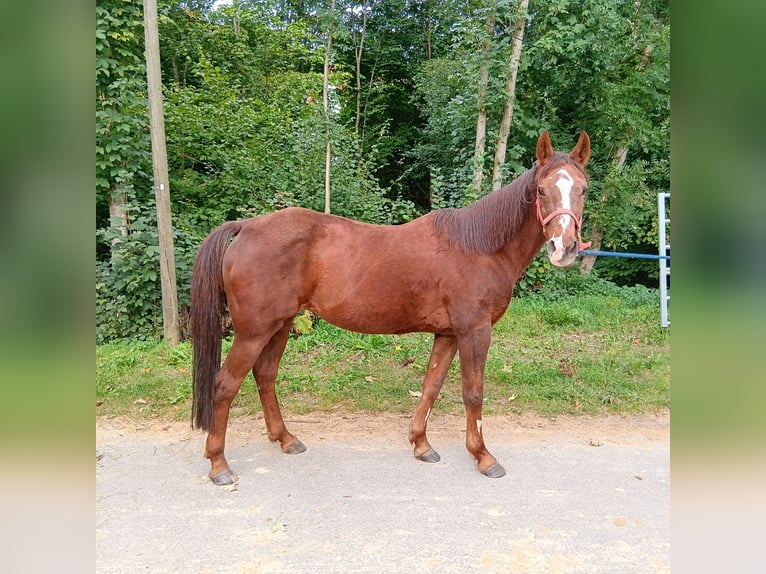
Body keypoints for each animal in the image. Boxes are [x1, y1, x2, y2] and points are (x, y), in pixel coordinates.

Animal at [192, 130, 592, 486]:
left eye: (584, 189)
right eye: (541, 190)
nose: (565, 247)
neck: (478, 246)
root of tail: (246, 227)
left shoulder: (448, 334)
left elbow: (431, 386)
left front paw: (421, 445)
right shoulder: (474, 331)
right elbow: (473, 393)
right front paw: (483, 456)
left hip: (280, 324)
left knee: (265, 375)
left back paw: (286, 439)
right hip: (254, 331)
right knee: (225, 384)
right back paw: (219, 464)